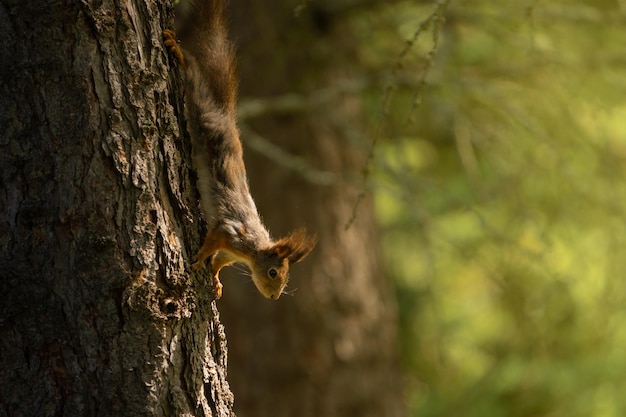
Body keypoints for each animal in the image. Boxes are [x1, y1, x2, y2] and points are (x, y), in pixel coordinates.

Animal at [162, 0, 314, 300]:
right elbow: (213, 242)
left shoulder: (231, 253)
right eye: (273, 273)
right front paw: (200, 258)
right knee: (194, 79)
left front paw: (215, 278)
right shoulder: (231, 233)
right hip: (202, 116)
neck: (253, 251)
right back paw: (179, 53)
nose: (274, 297)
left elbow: (220, 261)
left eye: (285, 278)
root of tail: (225, 117)